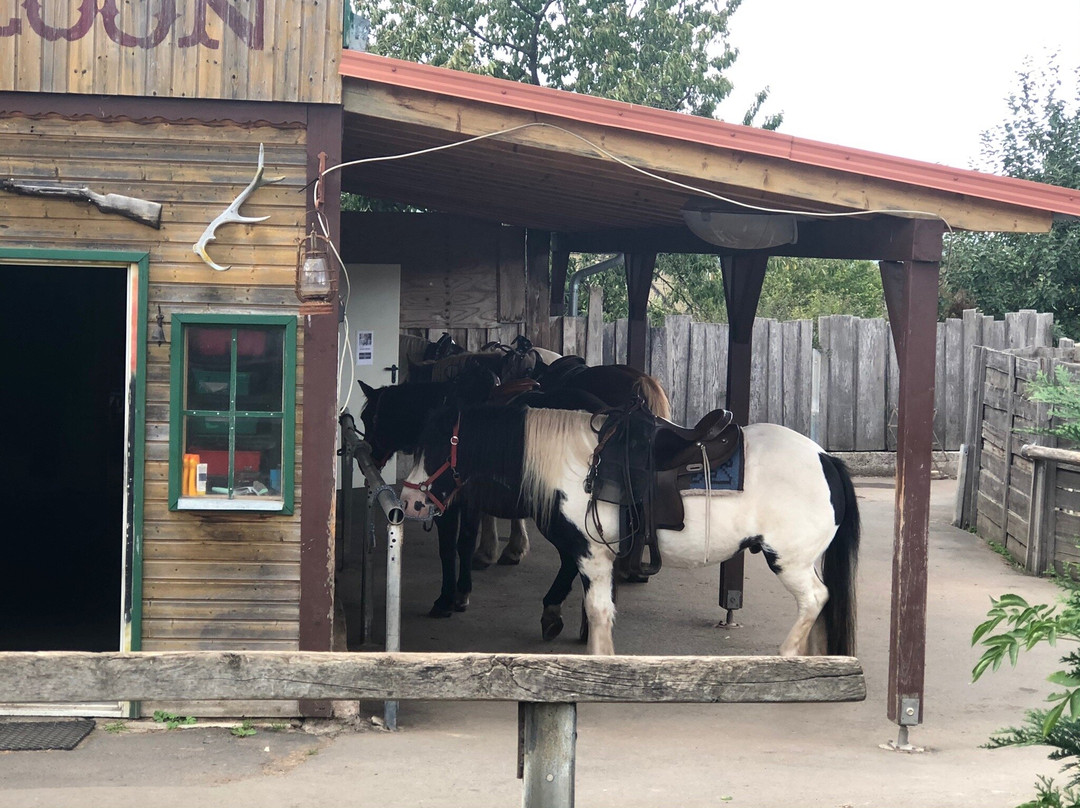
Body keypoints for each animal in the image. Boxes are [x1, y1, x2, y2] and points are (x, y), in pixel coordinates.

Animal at [401, 404, 864, 656]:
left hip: (789, 559)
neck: (574, 465)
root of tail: (826, 459)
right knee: (819, 603)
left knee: (815, 599)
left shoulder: (591, 554)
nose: (409, 502)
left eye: (441, 444)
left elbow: (597, 611)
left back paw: (788, 655)